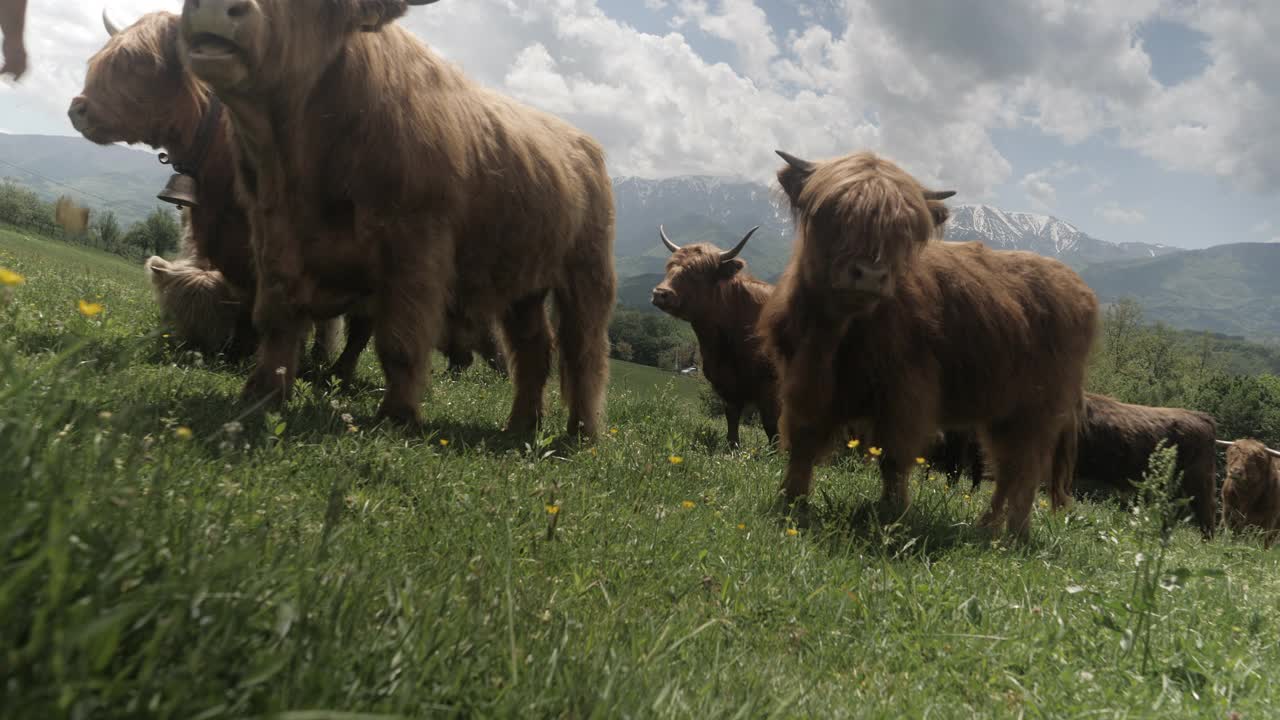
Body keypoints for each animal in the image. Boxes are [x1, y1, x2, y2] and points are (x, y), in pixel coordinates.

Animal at [176, 0, 614, 435]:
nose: (215, 8)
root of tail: (583, 142)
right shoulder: (272, 233)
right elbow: (277, 318)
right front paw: (264, 392)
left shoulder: (416, 247)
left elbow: (400, 340)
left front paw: (398, 415)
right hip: (523, 282)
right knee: (535, 346)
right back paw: (521, 425)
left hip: (587, 274)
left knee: (584, 352)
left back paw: (581, 431)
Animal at [650, 224, 778, 448]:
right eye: (670, 266)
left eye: (697, 272)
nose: (660, 293)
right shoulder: (726, 383)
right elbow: (732, 417)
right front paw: (732, 447)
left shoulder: (770, 383)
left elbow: (771, 424)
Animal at [757, 147, 1100, 538]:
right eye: (831, 212)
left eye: (904, 229)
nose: (870, 274)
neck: (832, 338)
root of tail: (1079, 287)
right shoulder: (801, 385)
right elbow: (802, 443)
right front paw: (791, 502)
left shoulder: (906, 392)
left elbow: (893, 457)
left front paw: (893, 513)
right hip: (1004, 412)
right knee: (1007, 470)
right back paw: (985, 529)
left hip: (1039, 410)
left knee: (1026, 470)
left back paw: (1015, 535)